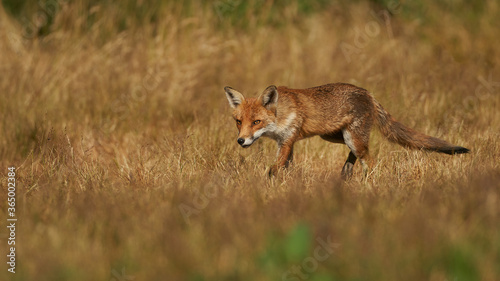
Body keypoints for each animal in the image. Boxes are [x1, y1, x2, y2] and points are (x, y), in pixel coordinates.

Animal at [225, 83, 470, 178]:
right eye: (239, 122)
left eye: (256, 122)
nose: (241, 141)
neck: (280, 115)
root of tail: (368, 93)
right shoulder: (286, 142)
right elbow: (283, 167)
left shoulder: (287, 141)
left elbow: (273, 170)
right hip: (335, 136)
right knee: (358, 154)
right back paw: (346, 172)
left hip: (352, 138)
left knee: (370, 160)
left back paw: (368, 182)